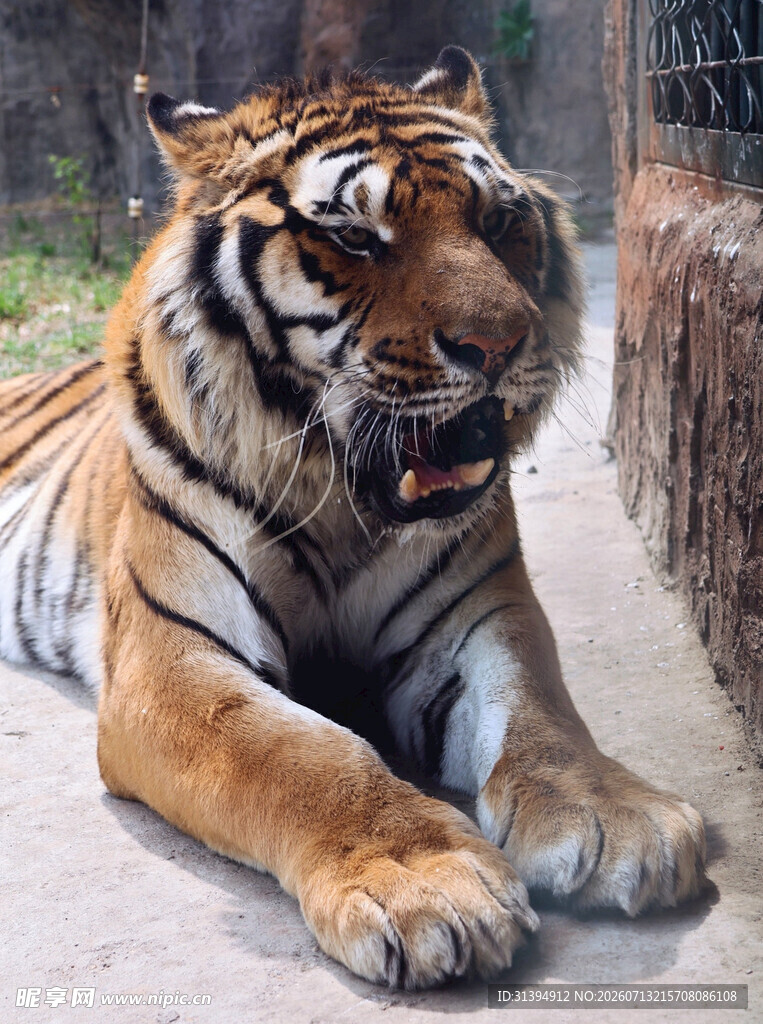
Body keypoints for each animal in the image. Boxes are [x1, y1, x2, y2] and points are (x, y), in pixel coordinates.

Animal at [0, 47, 706, 989]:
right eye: (353, 238)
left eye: (498, 220)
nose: (501, 346)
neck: (340, 502)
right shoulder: (173, 660)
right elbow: (300, 755)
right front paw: (426, 881)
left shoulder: (474, 618)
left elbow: (538, 711)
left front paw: (615, 814)